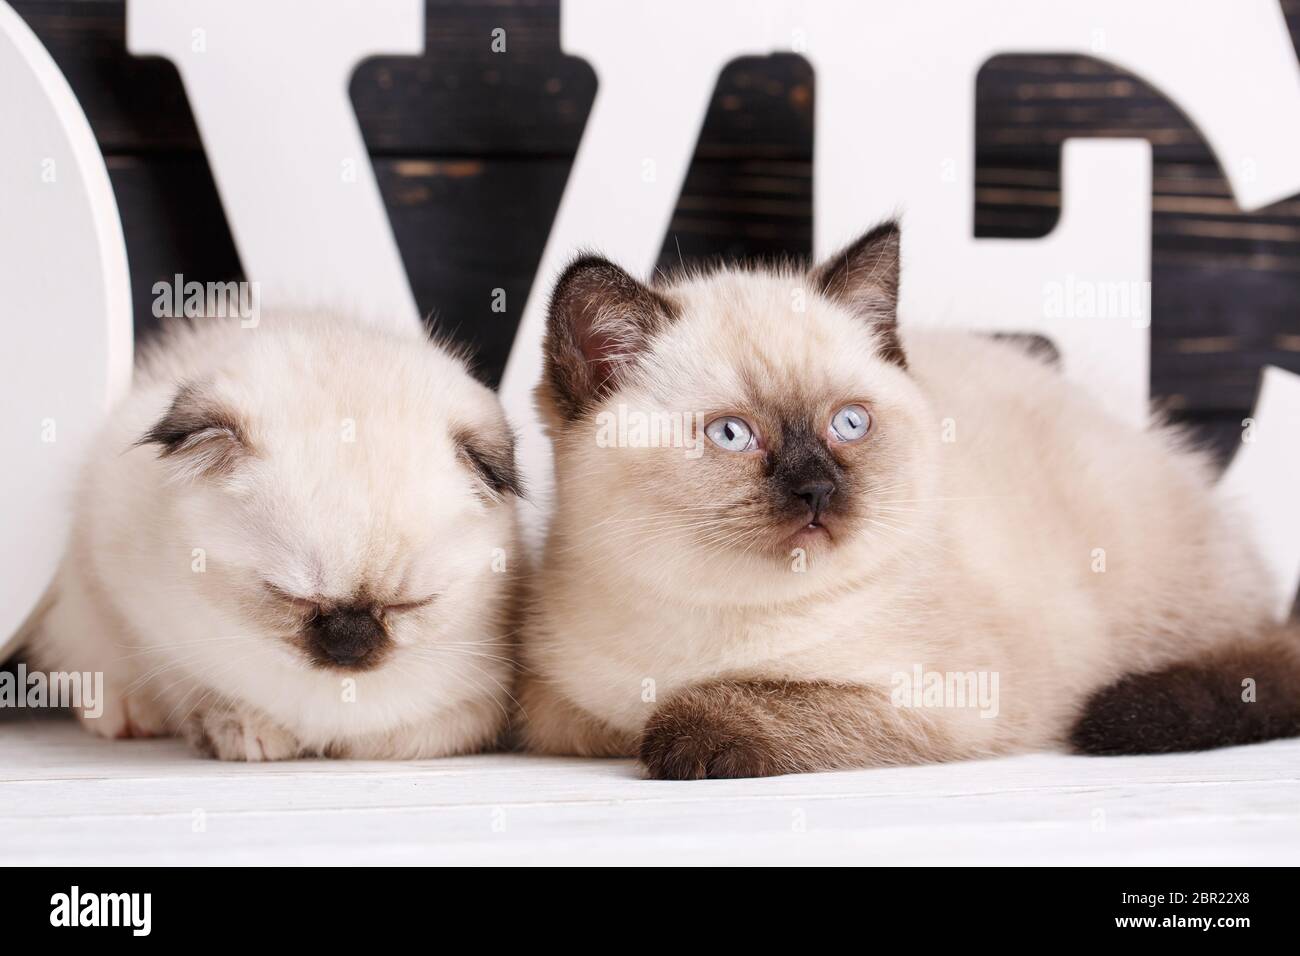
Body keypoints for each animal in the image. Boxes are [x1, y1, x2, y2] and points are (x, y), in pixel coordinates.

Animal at [31, 314, 517, 764]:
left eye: (409, 606)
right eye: (293, 599)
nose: (350, 646)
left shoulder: (479, 703)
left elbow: (398, 736)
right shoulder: (135, 602)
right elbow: (192, 687)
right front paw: (242, 728)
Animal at [517, 222, 1300, 780]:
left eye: (849, 424)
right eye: (732, 435)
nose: (818, 489)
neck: (711, 617)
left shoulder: (946, 704)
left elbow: (742, 702)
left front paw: (682, 734)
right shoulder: (556, 710)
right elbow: (606, 721)